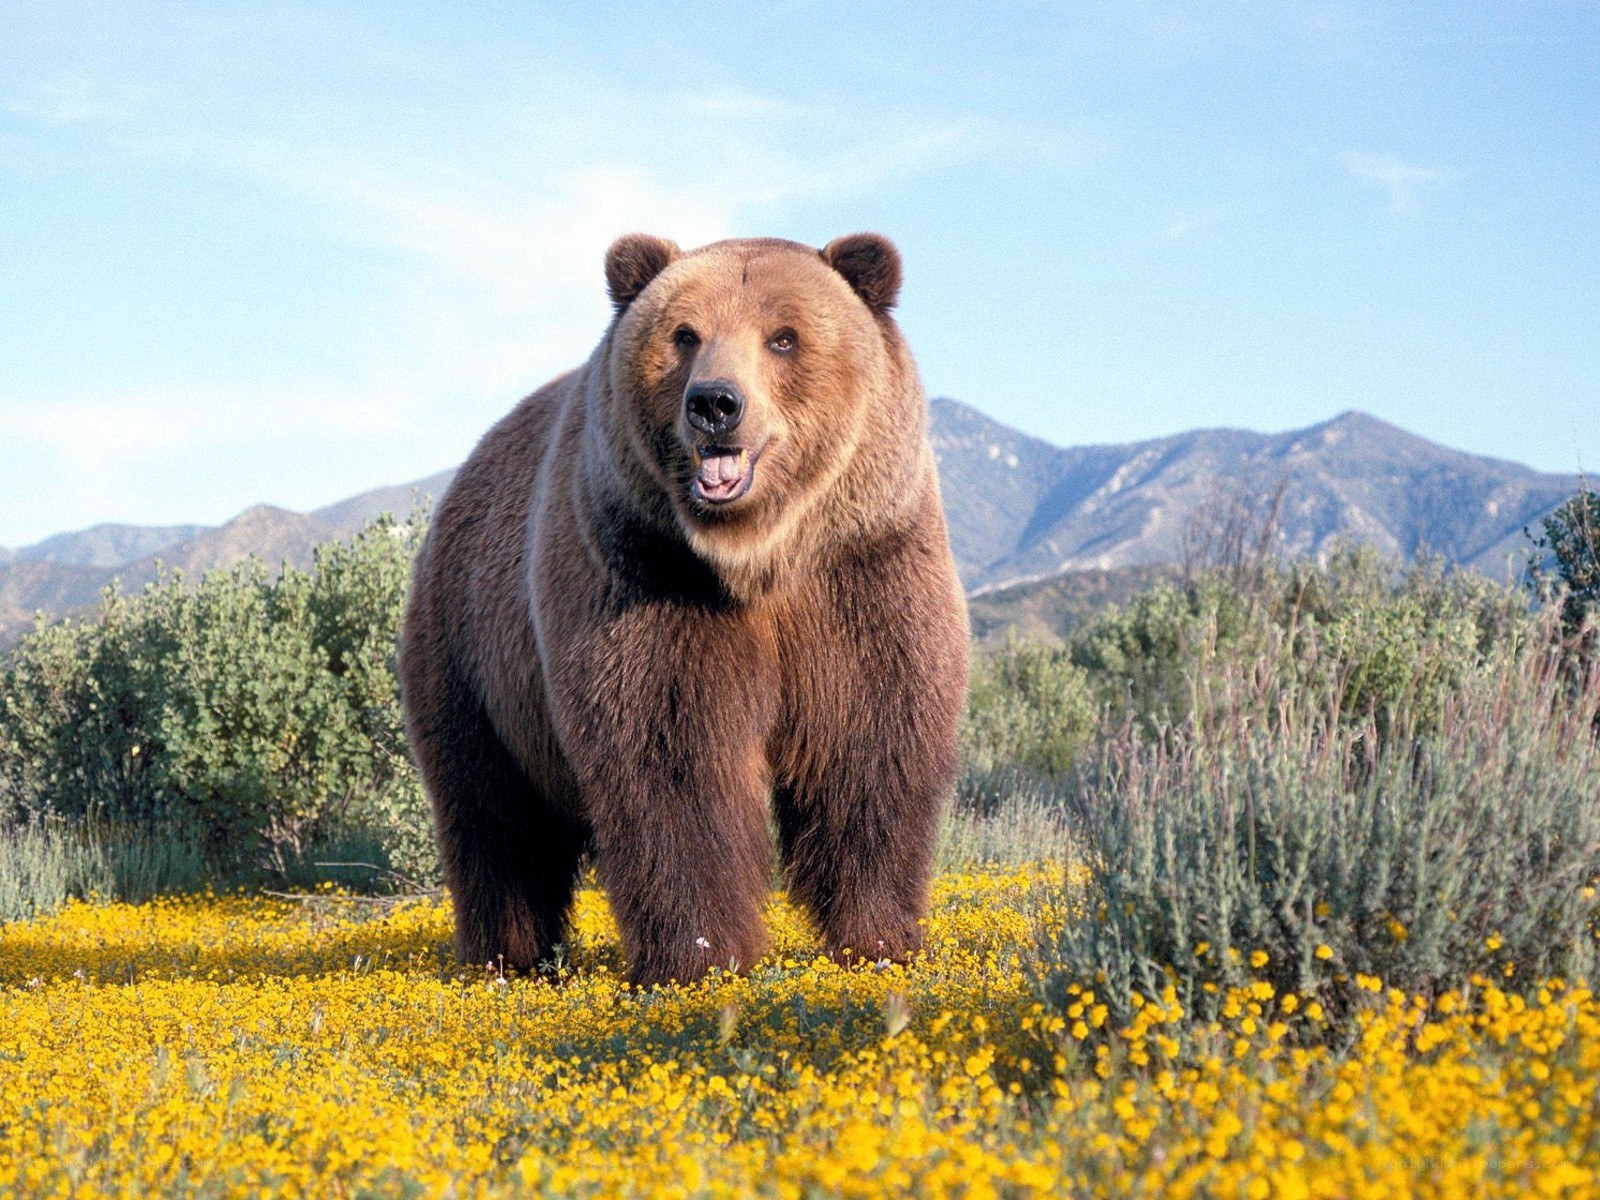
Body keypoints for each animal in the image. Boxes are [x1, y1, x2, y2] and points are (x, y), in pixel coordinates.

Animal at [399, 233, 969, 986]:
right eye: (685, 334)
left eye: (784, 337)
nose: (716, 403)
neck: (758, 557)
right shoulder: (647, 577)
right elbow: (673, 760)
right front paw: (700, 955)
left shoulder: (863, 571)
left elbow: (869, 744)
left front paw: (880, 939)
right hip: (473, 654)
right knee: (495, 816)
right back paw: (506, 956)